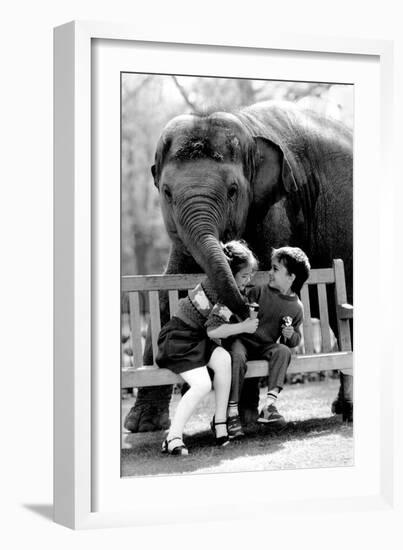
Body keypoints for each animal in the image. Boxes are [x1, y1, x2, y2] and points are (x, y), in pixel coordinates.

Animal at [124, 100, 354, 436]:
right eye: (166, 192)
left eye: (233, 190)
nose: (230, 250)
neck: (245, 123)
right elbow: (168, 295)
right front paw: (141, 425)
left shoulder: (277, 210)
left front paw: (243, 419)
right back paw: (340, 406)